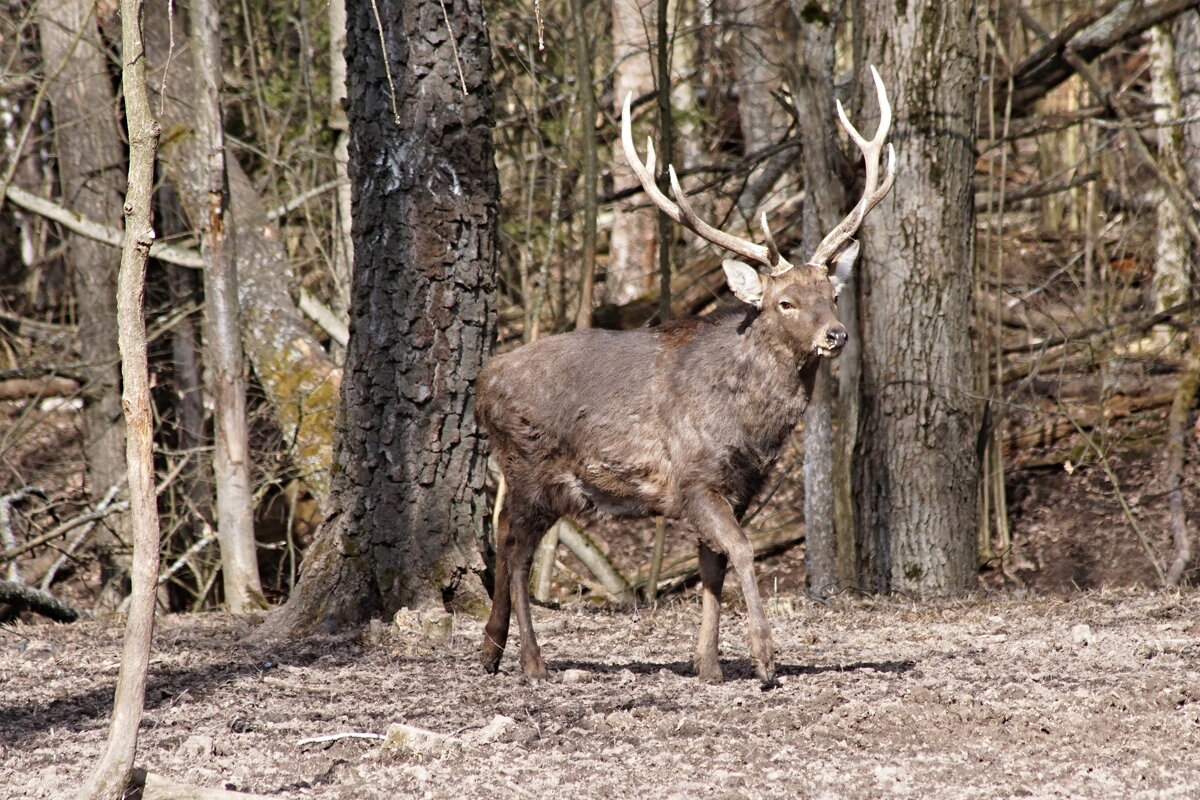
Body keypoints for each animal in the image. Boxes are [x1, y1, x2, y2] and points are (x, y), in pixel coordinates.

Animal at [475, 67, 892, 690]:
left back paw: (491, 648)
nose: (836, 335)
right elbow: (741, 552)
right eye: (786, 302)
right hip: (530, 465)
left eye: (833, 295)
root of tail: (481, 383)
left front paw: (709, 665)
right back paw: (532, 661)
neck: (751, 429)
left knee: (504, 538)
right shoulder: (695, 479)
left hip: (544, 484)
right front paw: (765, 659)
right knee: (517, 550)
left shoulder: (742, 486)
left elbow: (711, 567)